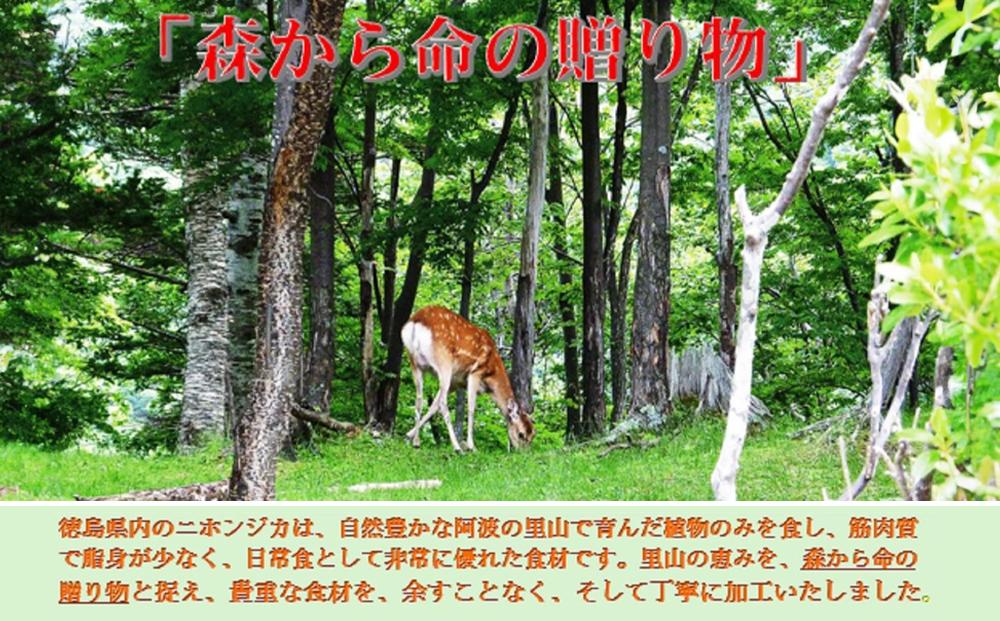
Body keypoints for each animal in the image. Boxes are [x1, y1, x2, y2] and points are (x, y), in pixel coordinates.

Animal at [400, 305, 535, 452]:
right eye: (521, 434)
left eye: (532, 435)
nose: (524, 452)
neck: (492, 374)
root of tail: (415, 323)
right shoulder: (475, 373)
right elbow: (471, 408)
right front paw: (471, 446)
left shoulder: (456, 382)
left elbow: (433, 406)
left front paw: (408, 435)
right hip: (444, 361)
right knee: (442, 402)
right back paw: (457, 447)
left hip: (415, 363)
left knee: (420, 399)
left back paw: (416, 442)